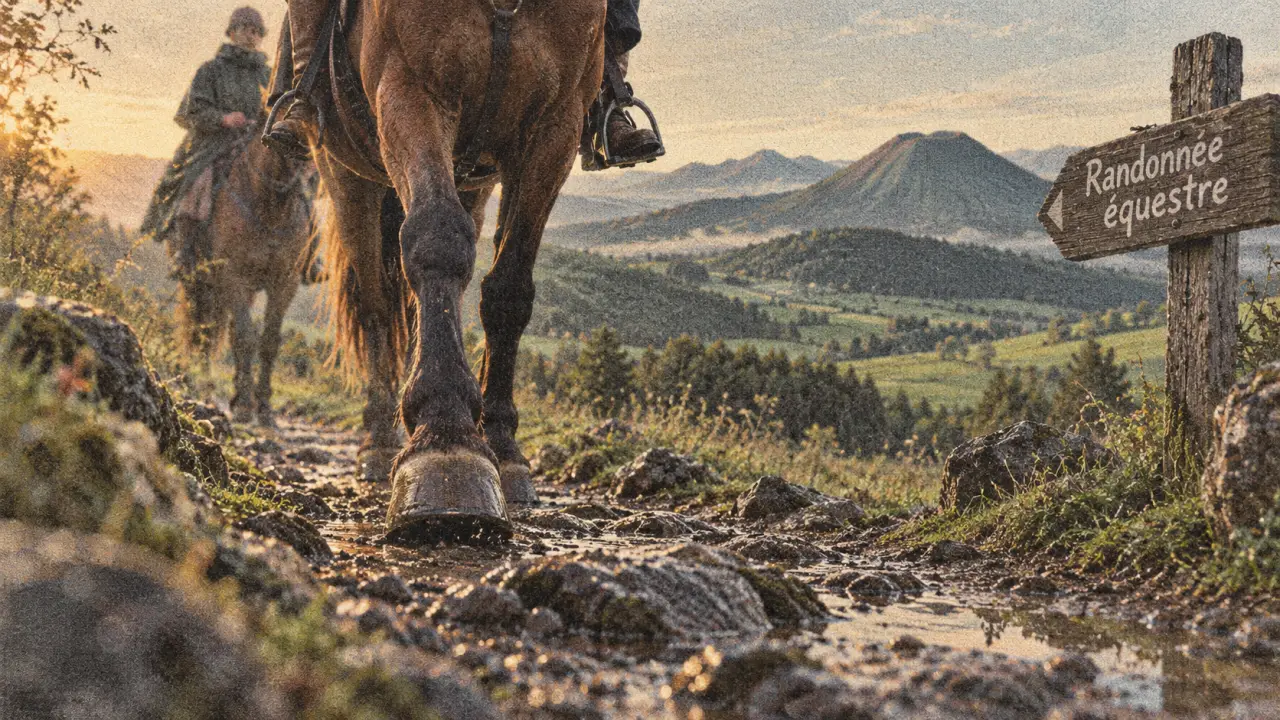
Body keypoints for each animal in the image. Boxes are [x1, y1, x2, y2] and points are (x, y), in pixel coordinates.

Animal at [182, 131, 316, 427]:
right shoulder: (233, 277)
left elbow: (268, 341)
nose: (313, 180)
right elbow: (245, 337)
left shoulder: (284, 283)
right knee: (203, 332)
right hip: (201, 285)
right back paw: (204, 386)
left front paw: (264, 408)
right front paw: (244, 407)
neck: (271, 210)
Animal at [307, 0, 605, 542]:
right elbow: (438, 239)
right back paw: (380, 440)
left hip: (475, 183)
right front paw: (446, 438)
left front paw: (503, 448)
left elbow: (509, 289)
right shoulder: (411, 88)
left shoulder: (556, 124)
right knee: (376, 304)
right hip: (347, 179)